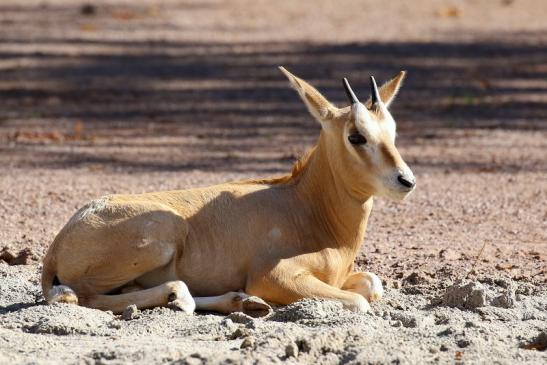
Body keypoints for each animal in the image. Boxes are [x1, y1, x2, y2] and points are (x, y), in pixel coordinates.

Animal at [41, 67, 416, 316]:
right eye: (355, 136)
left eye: (393, 131)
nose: (406, 181)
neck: (307, 206)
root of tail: (58, 246)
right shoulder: (273, 276)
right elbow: (360, 301)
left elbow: (372, 284)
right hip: (162, 234)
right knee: (85, 297)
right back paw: (182, 297)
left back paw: (239, 301)